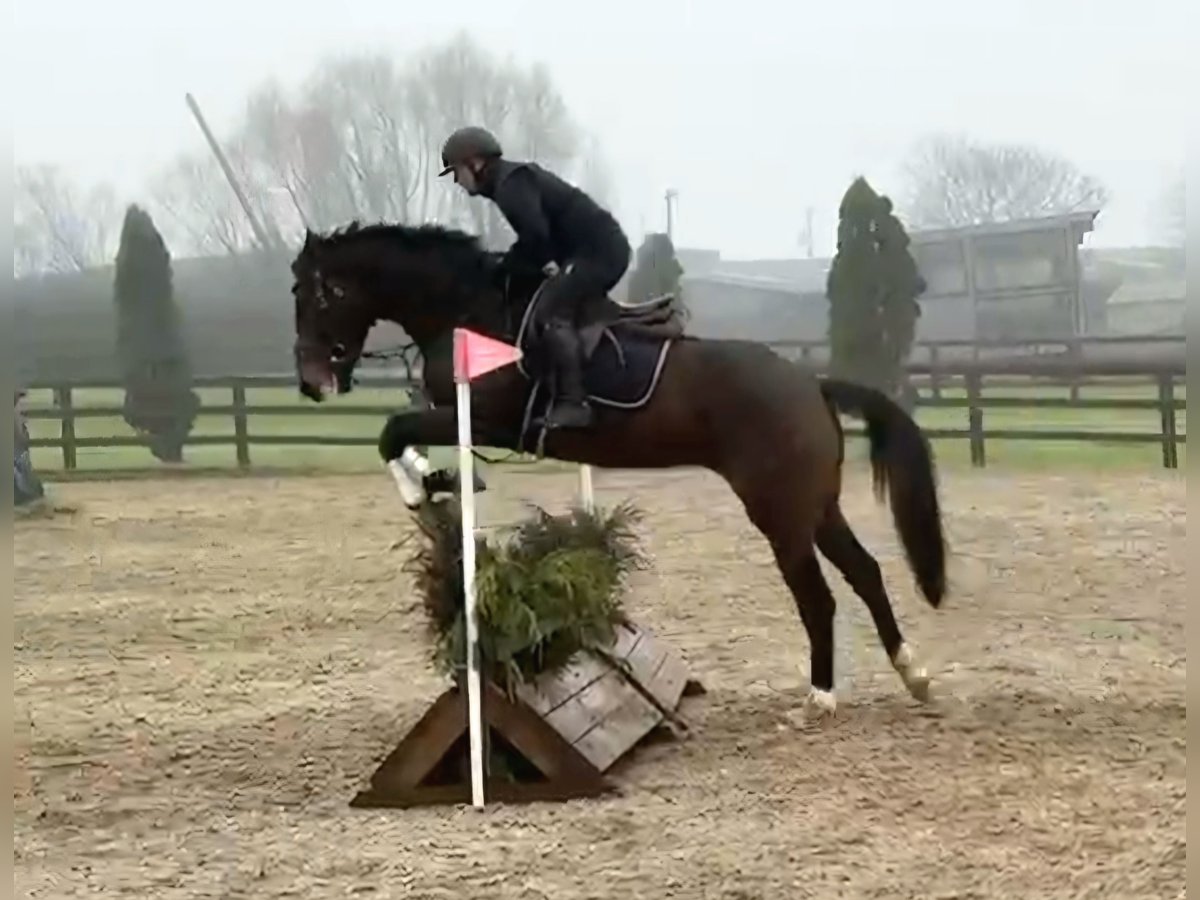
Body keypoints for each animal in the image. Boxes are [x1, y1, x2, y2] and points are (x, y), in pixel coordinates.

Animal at [290, 220, 949, 717]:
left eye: (318, 295)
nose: (312, 383)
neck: (466, 308)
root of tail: (812, 384)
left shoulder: (485, 419)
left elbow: (393, 432)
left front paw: (429, 484)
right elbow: (396, 432)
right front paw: (438, 481)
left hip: (779, 512)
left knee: (818, 596)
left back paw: (820, 698)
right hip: (816, 505)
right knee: (865, 573)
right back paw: (913, 673)